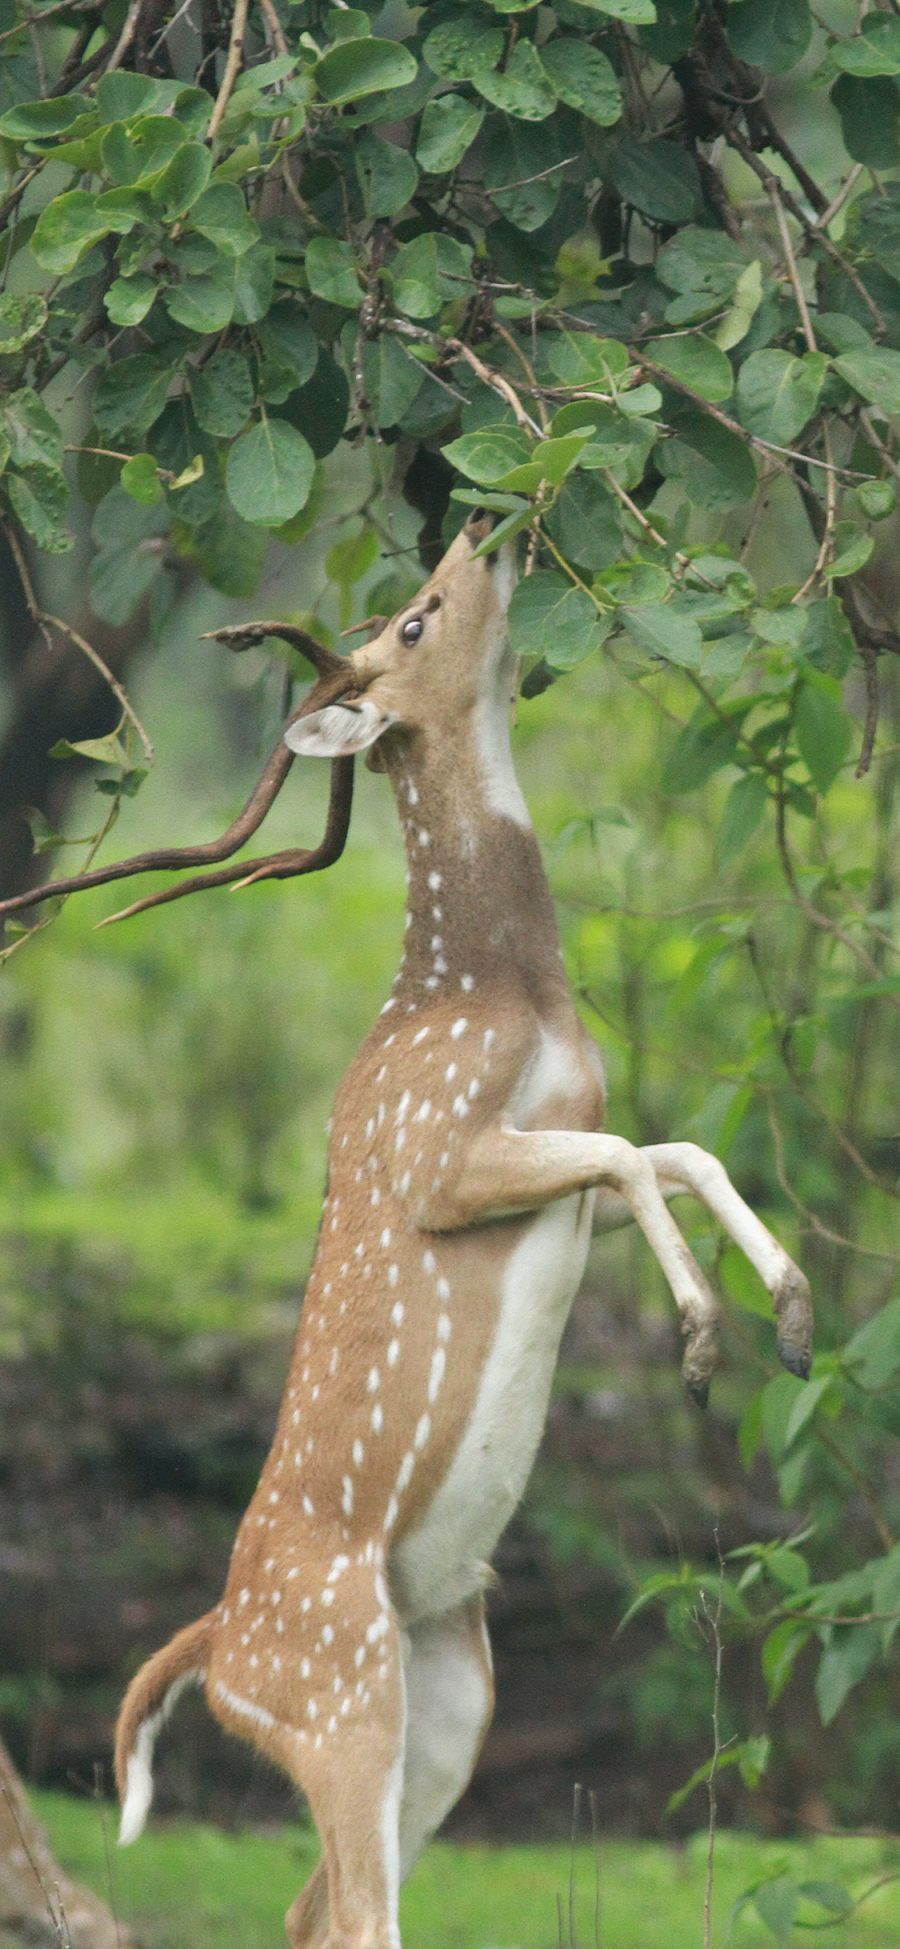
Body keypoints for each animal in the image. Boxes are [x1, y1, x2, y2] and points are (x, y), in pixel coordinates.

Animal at [0, 514, 814, 1949]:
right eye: (418, 619)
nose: (484, 528)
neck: (492, 989)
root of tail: (219, 1650)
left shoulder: (565, 1146)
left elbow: (674, 1149)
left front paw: (795, 1311)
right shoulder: (432, 1152)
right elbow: (636, 1153)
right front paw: (704, 1340)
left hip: (451, 1698)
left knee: (311, 1911)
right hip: (342, 1693)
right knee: (353, 1909)